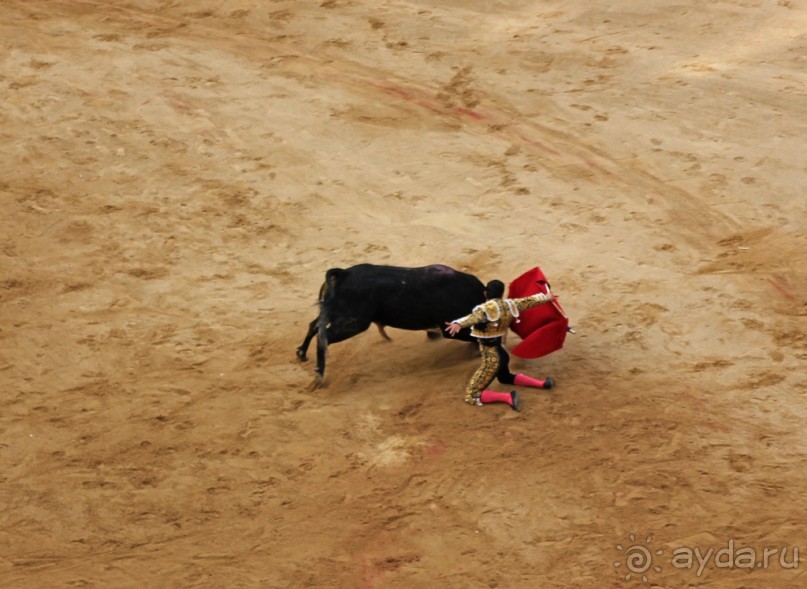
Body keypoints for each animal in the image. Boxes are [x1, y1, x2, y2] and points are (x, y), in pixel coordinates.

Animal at [296, 262, 486, 384]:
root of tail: (344, 273)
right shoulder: (451, 328)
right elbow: (475, 337)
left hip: (335, 314)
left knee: (314, 326)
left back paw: (301, 353)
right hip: (354, 323)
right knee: (324, 337)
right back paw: (319, 375)